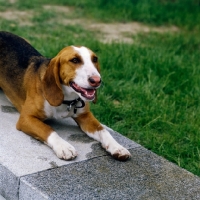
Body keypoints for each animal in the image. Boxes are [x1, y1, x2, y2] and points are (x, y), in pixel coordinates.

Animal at [0, 31, 131, 161]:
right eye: (74, 60)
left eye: (95, 59)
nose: (97, 80)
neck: (67, 99)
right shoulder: (26, 118)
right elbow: (48, 129)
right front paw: (64, 147)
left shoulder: (85, 116)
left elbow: (103, 131)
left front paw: (117, 147)